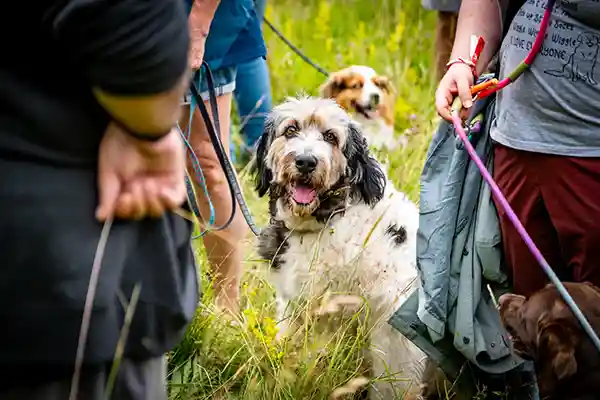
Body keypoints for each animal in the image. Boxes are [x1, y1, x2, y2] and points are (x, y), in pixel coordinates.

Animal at [251, 96, 428, 396]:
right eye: (290, 130)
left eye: (330, 137)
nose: (306, 161)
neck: (330, 217)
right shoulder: (294, 306)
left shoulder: (391, 334)